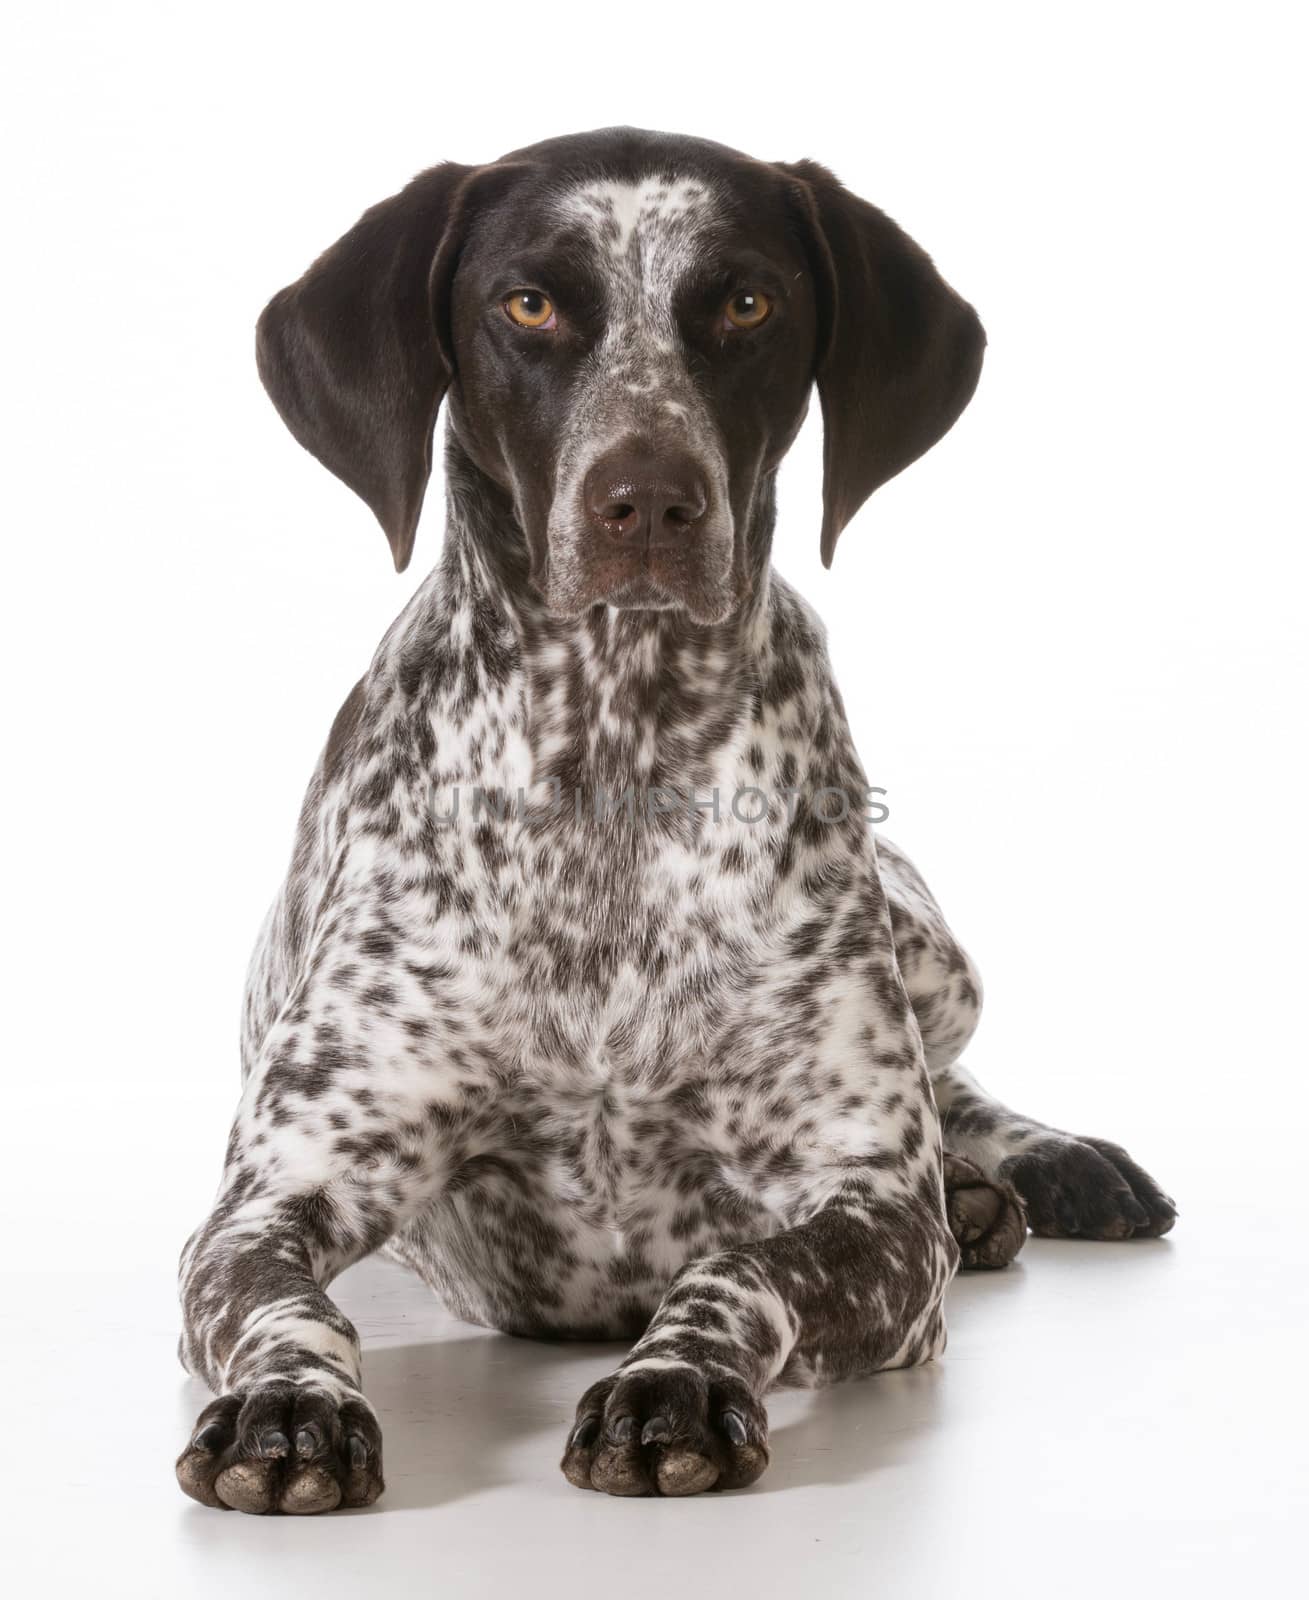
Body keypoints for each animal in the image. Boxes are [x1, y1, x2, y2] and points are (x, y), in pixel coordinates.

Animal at [176, 128, 1171, 1510]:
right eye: (527, 305)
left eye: (746, 302)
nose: (646, 498)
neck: (616, 753)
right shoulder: (280, 1190)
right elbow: (284, 1308)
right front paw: (289, 1407)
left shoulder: (872, 1215)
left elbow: (740, 1265)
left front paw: (676, 1378)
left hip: (933, 949)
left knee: (950, 1075)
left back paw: (1026, 1161)